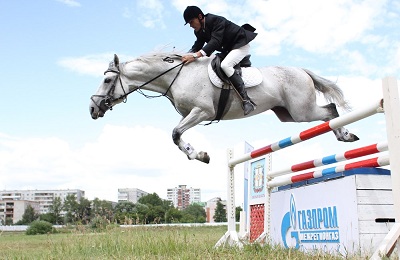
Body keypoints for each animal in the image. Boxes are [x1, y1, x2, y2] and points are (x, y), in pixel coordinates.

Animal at [89, 52, 358, 165]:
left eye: (107, 80)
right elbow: (177, 135)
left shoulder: (202, 112)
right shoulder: (190, 115)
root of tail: (302, 70)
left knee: (330, 110)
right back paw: (343, 135)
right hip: (288, 115)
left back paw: (346, 135)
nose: (92, 109)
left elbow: (175, 133)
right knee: (326, 114)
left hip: (302, 111)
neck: (176, 76)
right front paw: (199, 154)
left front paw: (199, 155)